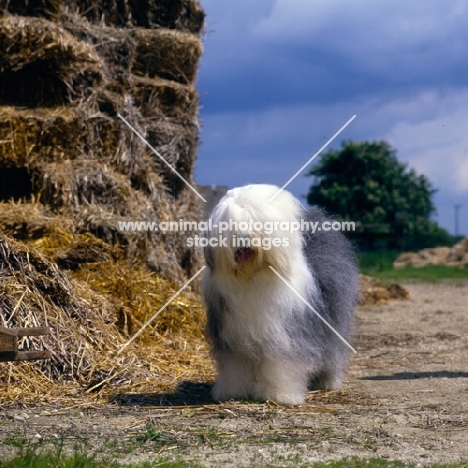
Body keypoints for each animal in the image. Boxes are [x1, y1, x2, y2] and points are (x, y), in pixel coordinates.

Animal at [201, 185, 358, 404]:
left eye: (255, 221)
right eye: (231, 225)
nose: (243, 238)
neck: (253, 277)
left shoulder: (286, 333)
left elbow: (281, 363)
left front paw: (280, 395)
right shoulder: (232, 334)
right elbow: (235, 365)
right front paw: (233, 392)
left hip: (333, 316)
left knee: (332, 350)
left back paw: (328, 382)